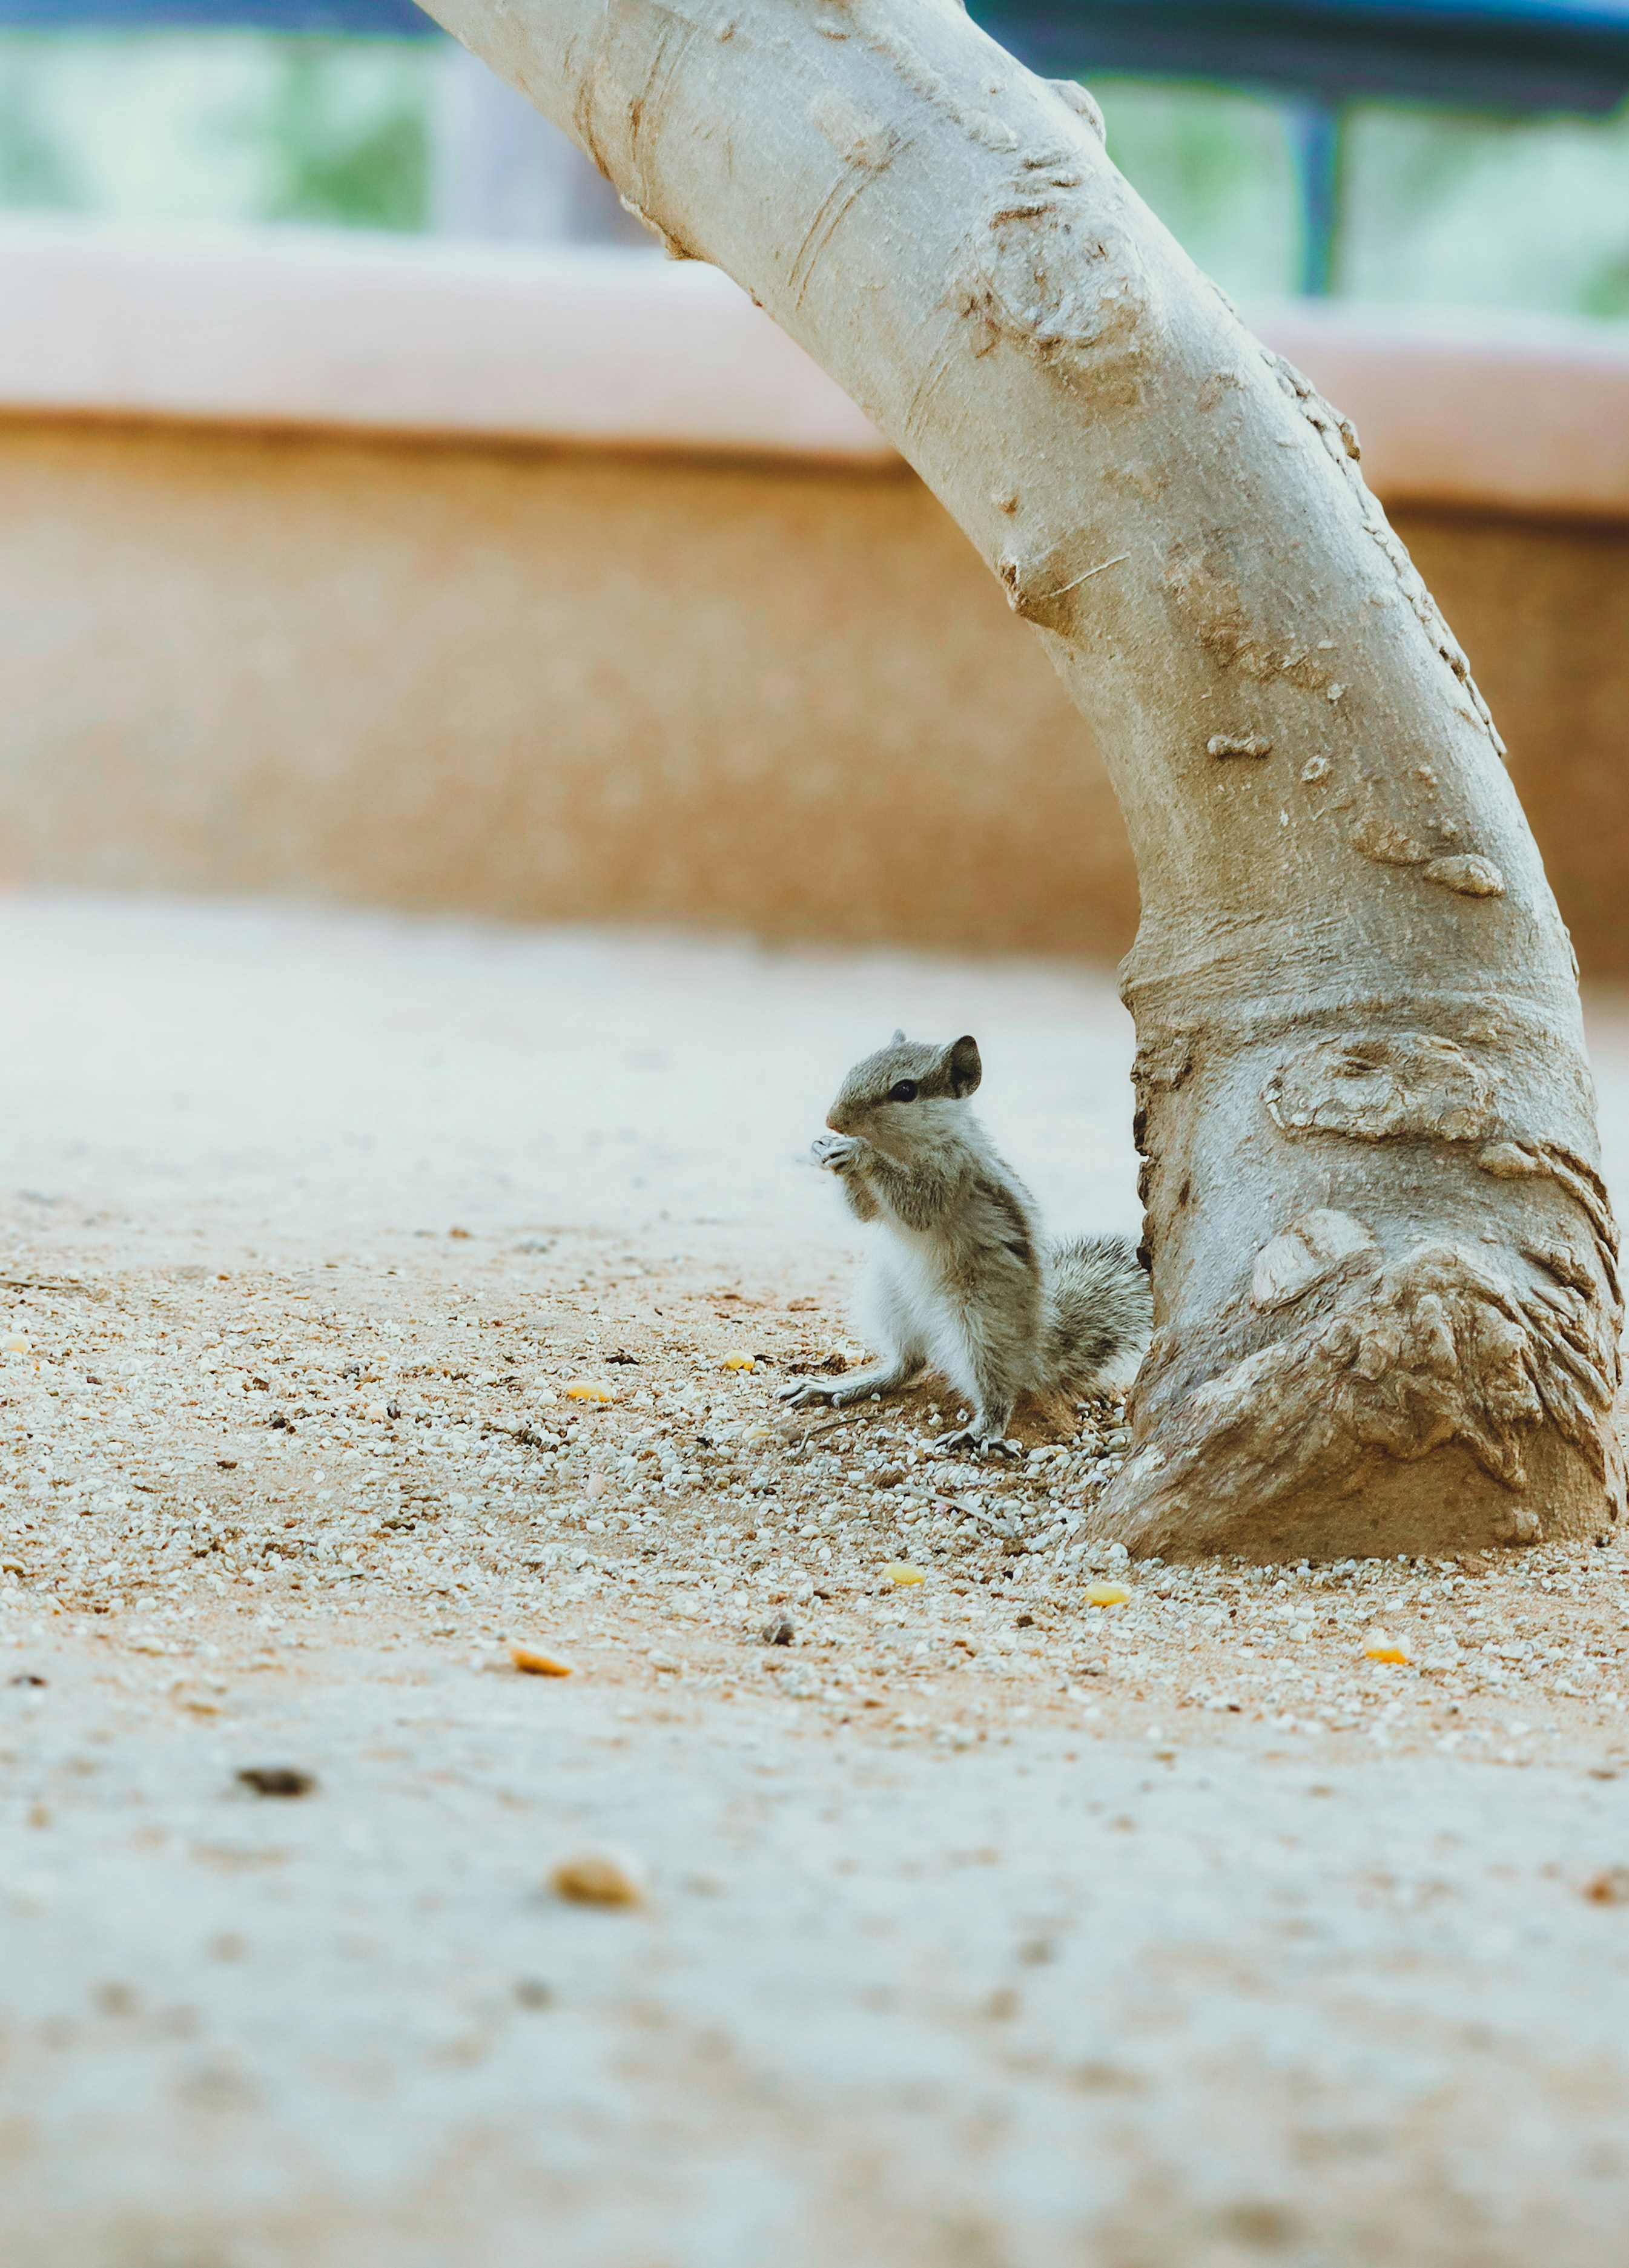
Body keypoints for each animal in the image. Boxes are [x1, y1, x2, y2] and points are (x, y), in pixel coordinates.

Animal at [780, 1030, 1151, 1452]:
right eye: (857, 1067)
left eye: (905, 1090)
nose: (833, 1120)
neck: (904, 1147)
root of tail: (1034, 1352)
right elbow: (864, 1212)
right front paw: (823, 1149)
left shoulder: (952, 1174)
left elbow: (915, 1205)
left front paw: (860, 1154)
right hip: (889, 1301)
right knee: (908, 1364)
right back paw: (841, 1387)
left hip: (980, 1322)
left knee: (997, 1391)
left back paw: (981, 1431)